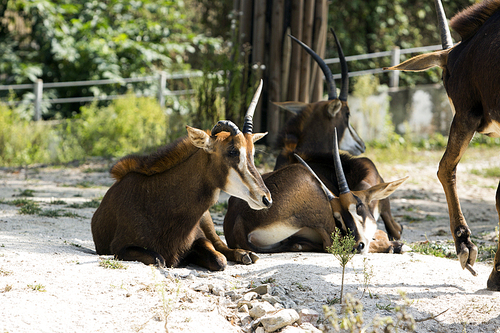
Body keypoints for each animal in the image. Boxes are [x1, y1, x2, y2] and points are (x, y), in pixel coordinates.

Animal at [89, 80, 270, 270]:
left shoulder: (199, 239)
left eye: (252, 153)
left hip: (207, 221)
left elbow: (219, 259)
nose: (266, 199)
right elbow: (159, 259)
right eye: (233, 151)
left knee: (221, 246)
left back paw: (246, 254)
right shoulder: (120, 247)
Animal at [225, 128, 408, 253]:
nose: (358, 245)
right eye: (338, 218)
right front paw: (395, 243)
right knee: (331, 245)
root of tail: (238, 221)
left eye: (358, 207)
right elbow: (393, 230)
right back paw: (395, 246)